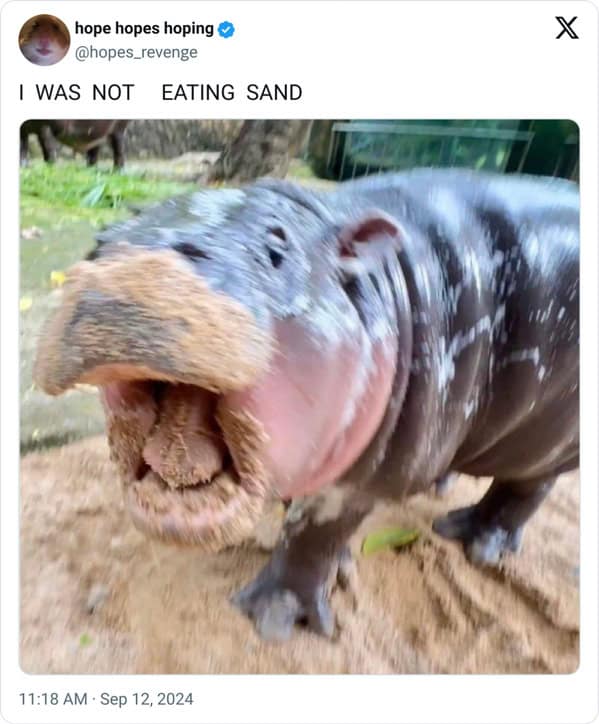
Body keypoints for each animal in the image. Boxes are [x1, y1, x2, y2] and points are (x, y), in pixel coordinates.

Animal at [34, 169, 579, 641]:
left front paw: (271, 619)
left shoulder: (362, 478)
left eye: (277, 249)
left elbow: (313, 535)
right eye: (103, 237)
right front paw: (340, 567)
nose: (132, 264)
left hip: (547, 437)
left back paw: (472, 540)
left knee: (527, 487)